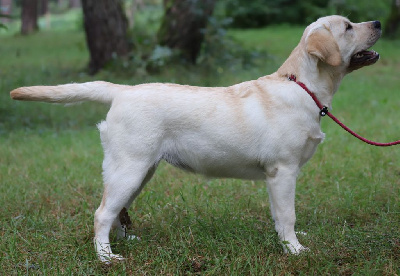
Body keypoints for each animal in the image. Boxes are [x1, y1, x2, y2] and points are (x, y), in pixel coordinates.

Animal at [9, 16, 382, 262]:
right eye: (348, 27)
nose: (377, 22)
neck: (302, 86)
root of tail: (122, 90)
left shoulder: (278, 177)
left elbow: (280, 215)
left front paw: (287, 242)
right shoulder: (283, 170)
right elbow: (288, 214)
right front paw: (295, 250)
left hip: (140, 171)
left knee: (116, 211)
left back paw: (123, 242)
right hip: (129, 167)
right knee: (102, 213)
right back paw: (106, 257)